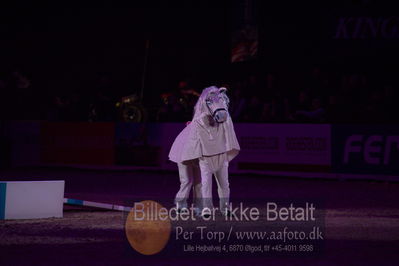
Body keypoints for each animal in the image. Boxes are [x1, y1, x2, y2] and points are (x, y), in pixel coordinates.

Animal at [169, 86, 241, 215]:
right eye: (209, 101)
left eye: (224, 100)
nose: (222, 116)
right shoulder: (205, 163)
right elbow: (207, 184)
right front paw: (207, 211)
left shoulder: (222, 164)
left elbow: (223, 184)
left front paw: (226, 210)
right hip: (184, 167)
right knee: (186, 183)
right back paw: (181, 208)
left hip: (196, 167)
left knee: (197, 184)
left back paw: (197, 209)